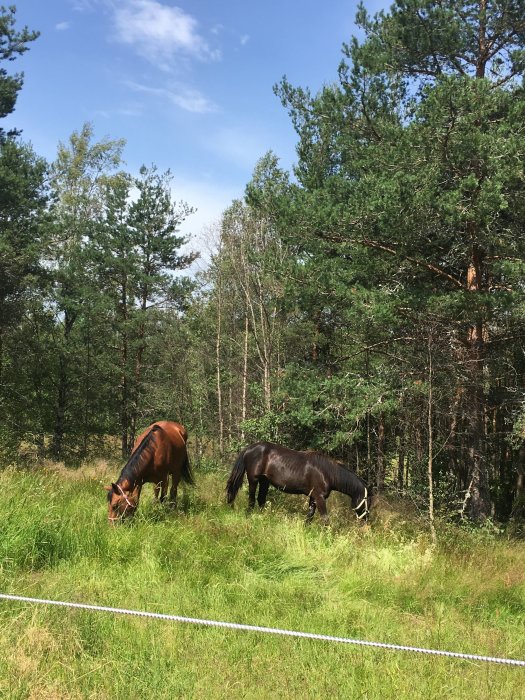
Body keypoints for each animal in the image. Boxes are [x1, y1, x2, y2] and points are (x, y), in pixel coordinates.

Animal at [225, 440, 368, 524]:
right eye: (367, 500)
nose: (366, 519)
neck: (327, 473)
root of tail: (249, 448)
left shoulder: (313, 497)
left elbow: (309, 517)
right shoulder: (319, 497)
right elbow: (325, 519)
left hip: (265, 481)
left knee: (261, 500)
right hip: (253, 480)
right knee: (251, 500)